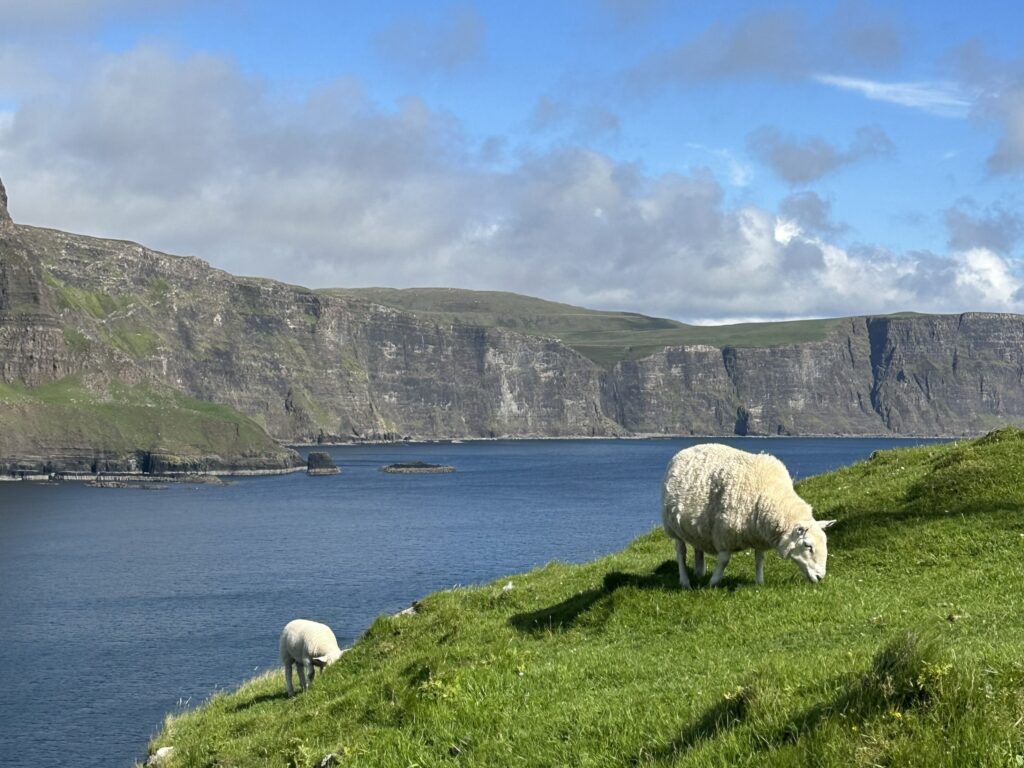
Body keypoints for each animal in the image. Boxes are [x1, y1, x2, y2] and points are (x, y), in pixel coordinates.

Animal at [663, 444, 831, 589]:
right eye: (808, 546)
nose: (820, 577)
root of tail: (687, 449)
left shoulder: (759, 535)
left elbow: (759, 559)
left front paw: (760, 583)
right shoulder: (724, 533)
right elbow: (724, 560)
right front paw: (713, 583)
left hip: (696, 529)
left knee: (698, 547)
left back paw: (699, 573)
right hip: (672, 526)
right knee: (681, 552)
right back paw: (685, 581)